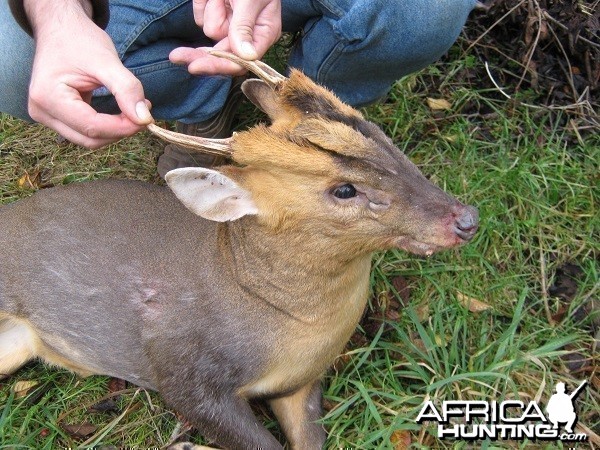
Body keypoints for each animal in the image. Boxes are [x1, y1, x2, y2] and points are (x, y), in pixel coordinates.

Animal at [0, 51, 478, 450]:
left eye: (382, 137)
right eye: (344, 189)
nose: (466, 219)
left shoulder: (302, 381)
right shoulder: (182, 371)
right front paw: (188, 444)